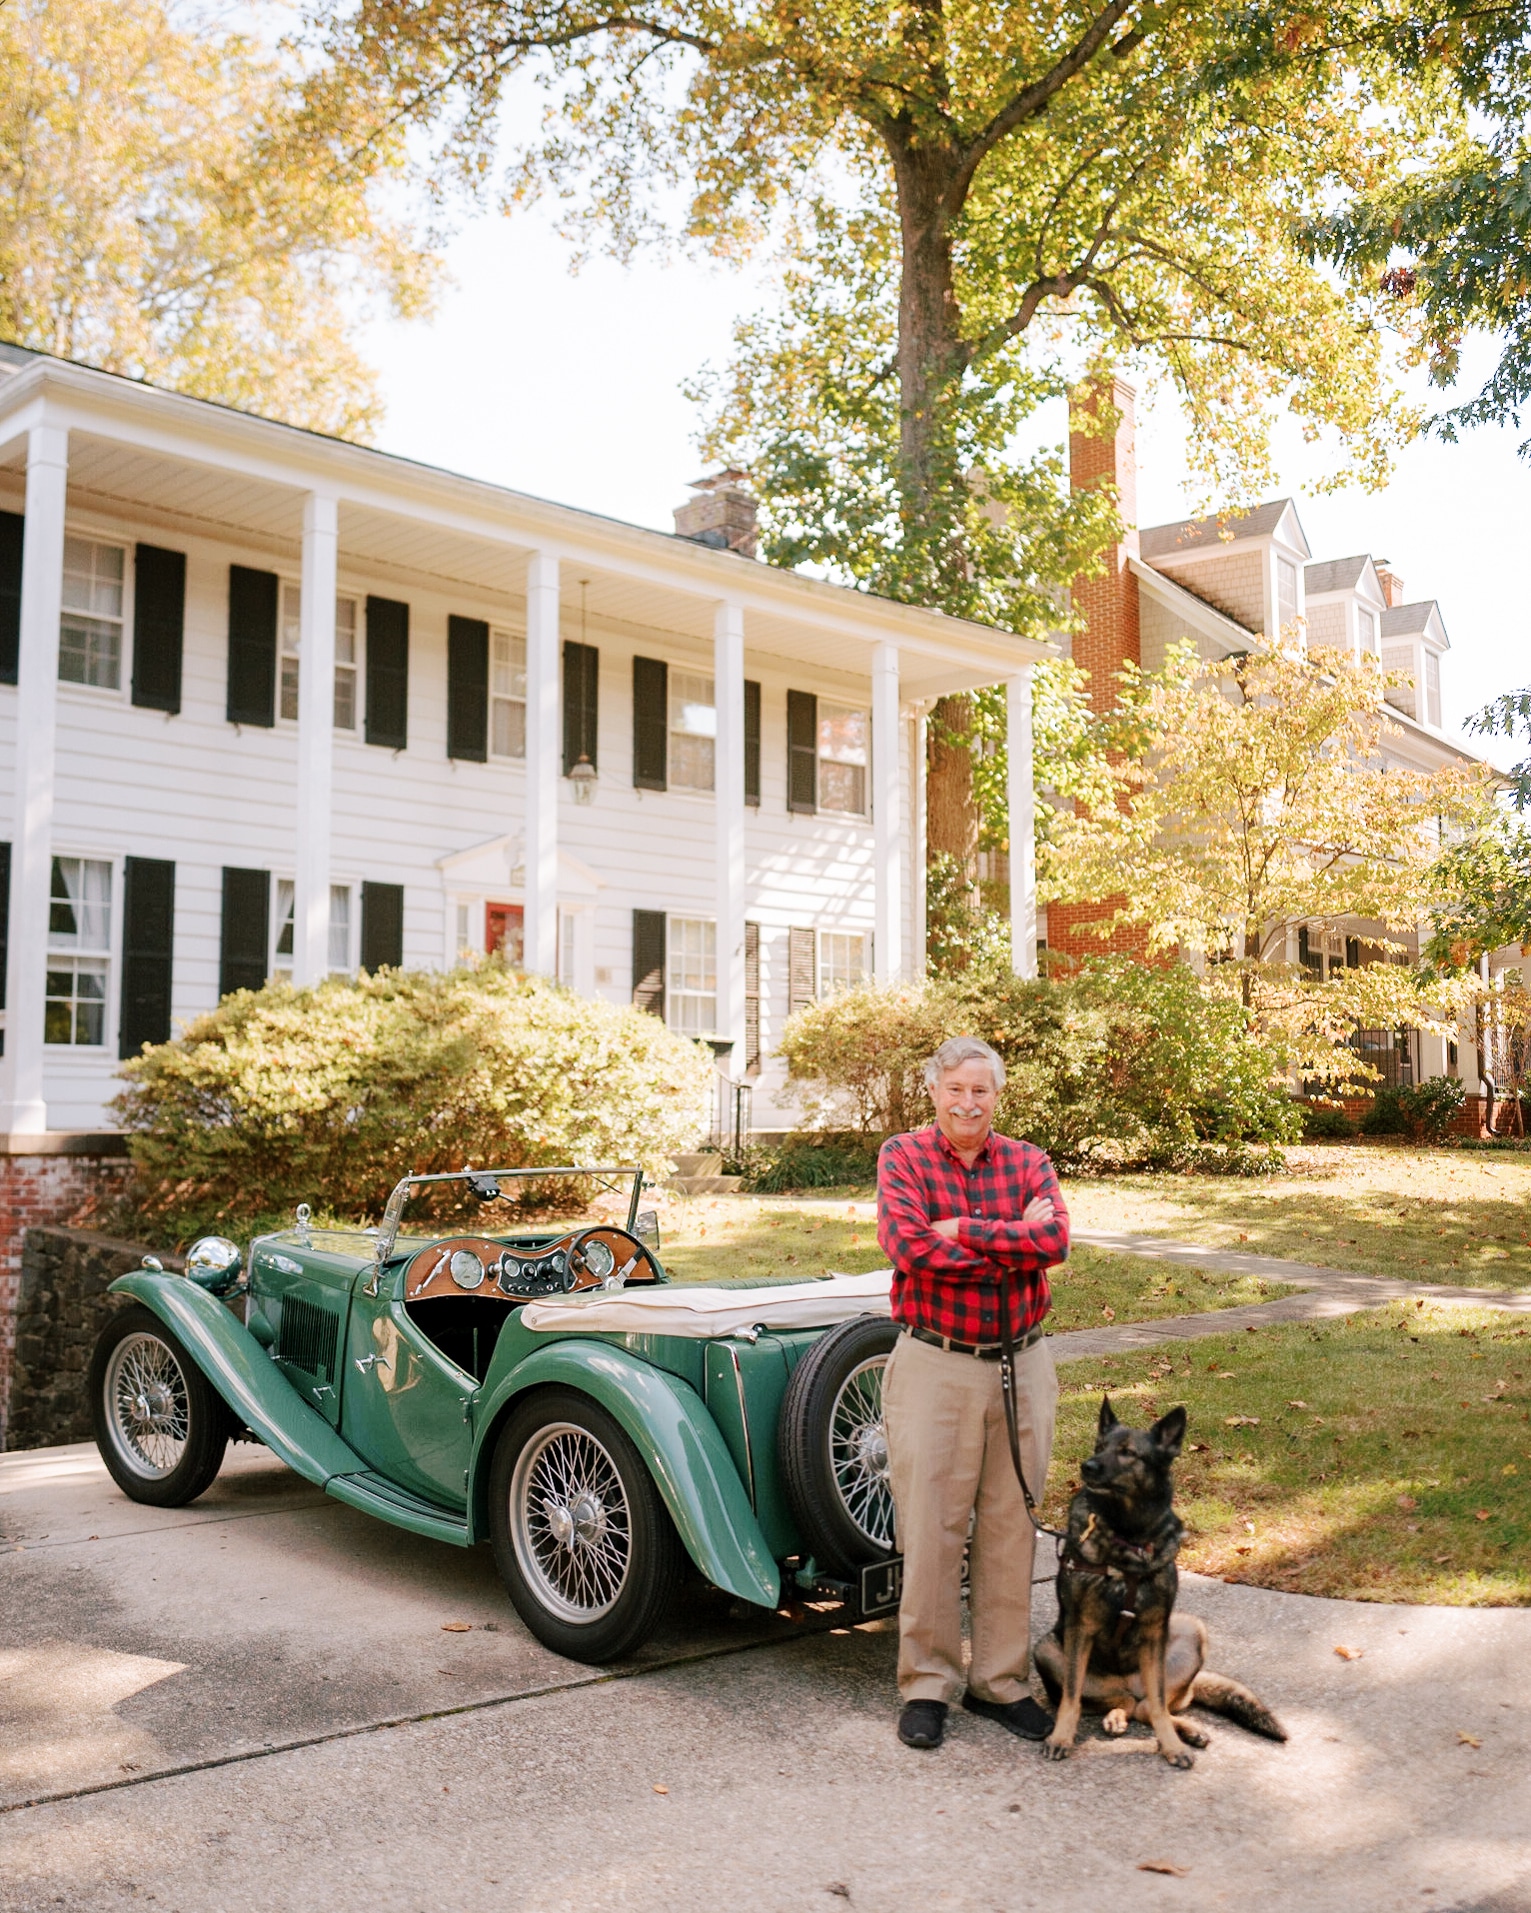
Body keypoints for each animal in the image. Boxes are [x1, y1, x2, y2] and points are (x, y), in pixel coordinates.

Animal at [1033, 1400, 1286, 1767]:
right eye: (1099, 1447)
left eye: (1128, 1453)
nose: (1087, 1466)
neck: (1127, 1535)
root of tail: (1129, 1683)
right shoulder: (1080, 1628)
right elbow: (1070, 1699)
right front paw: (1061, 1737)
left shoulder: (1155, 1630)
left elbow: (1159, 1712)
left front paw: (1171, 1745)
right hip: (1048, 1649)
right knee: (1125, 1703)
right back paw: (1116, 1717)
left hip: (1190, 1633)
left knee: (1153, 1706)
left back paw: (1185, 1730)